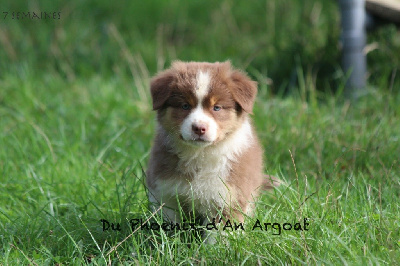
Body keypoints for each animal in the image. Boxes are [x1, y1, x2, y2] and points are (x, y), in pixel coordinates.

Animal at [145, 61, 280, 232]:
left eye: (217, 107)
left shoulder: (228, 196)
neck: (199, 154)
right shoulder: (164, 192)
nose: (199, 128)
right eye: (185, 106)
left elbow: (220, 233)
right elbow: (169, 222)